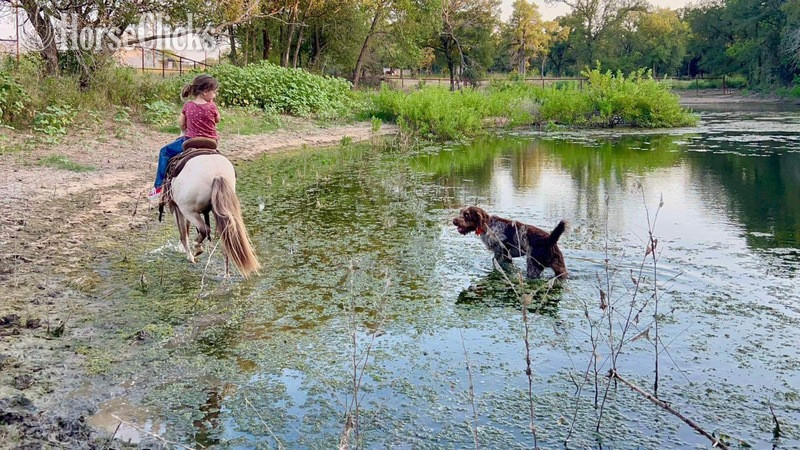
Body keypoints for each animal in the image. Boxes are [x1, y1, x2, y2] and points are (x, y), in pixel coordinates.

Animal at [164, 148, 260, 278]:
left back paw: (197, 248)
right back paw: (226, 274)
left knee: (204, 229)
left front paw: (189, 256)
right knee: (225, 241)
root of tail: (217, 174)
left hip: (188, 210)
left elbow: (184, 233)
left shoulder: (178, 208)